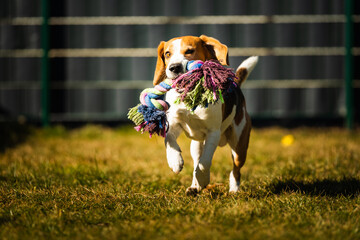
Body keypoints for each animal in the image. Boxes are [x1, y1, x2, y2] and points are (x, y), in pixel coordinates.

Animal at [153, 34, 258, 194]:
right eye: (167, 54)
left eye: (189, 51)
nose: (174, 67)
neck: (189, 94)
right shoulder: (174, 123)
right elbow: (169, 140)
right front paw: (175, 161)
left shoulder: (213, 132)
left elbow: (206, 161)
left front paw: (203, 178)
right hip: (196, 146)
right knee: (197, 160)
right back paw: (194, 187)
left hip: (239, 144)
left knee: (235, 169)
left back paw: (233, 189)